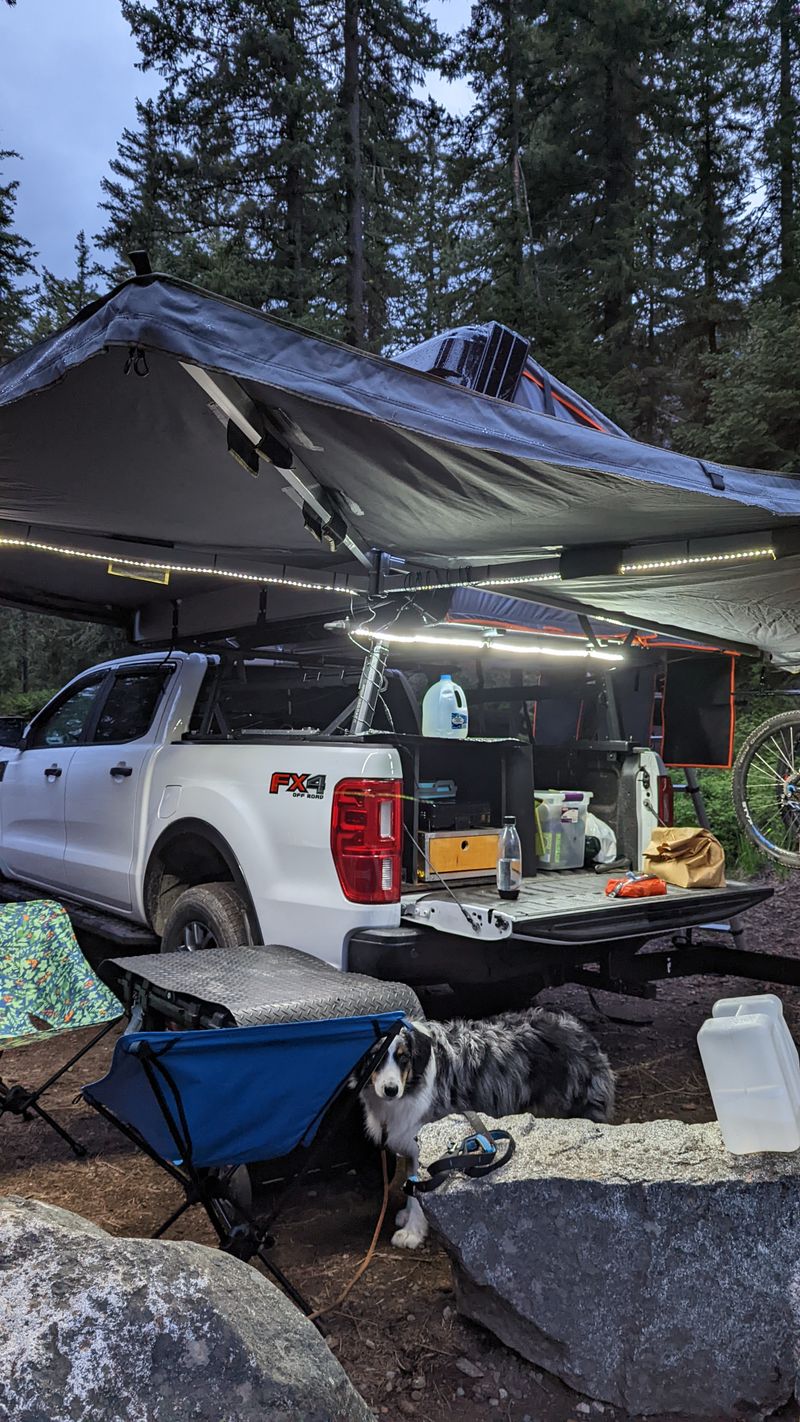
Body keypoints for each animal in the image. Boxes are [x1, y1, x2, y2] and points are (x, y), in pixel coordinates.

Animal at [359, 1006, 616, 1251]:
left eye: (403, 1058)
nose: (391, 1089)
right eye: (375, 1058)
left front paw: (413, 1232)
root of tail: (581, 1032)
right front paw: (408, 1216)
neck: (414, 1081)